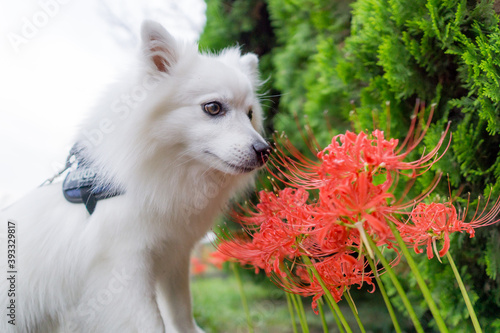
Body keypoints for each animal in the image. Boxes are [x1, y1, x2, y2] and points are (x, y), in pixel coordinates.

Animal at [0, 20, 270, 332]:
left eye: (249, 114)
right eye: (213, 108)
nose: (265, 150)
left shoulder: (175, 258)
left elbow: (182, 315)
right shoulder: (124, 268)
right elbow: (152, 323)